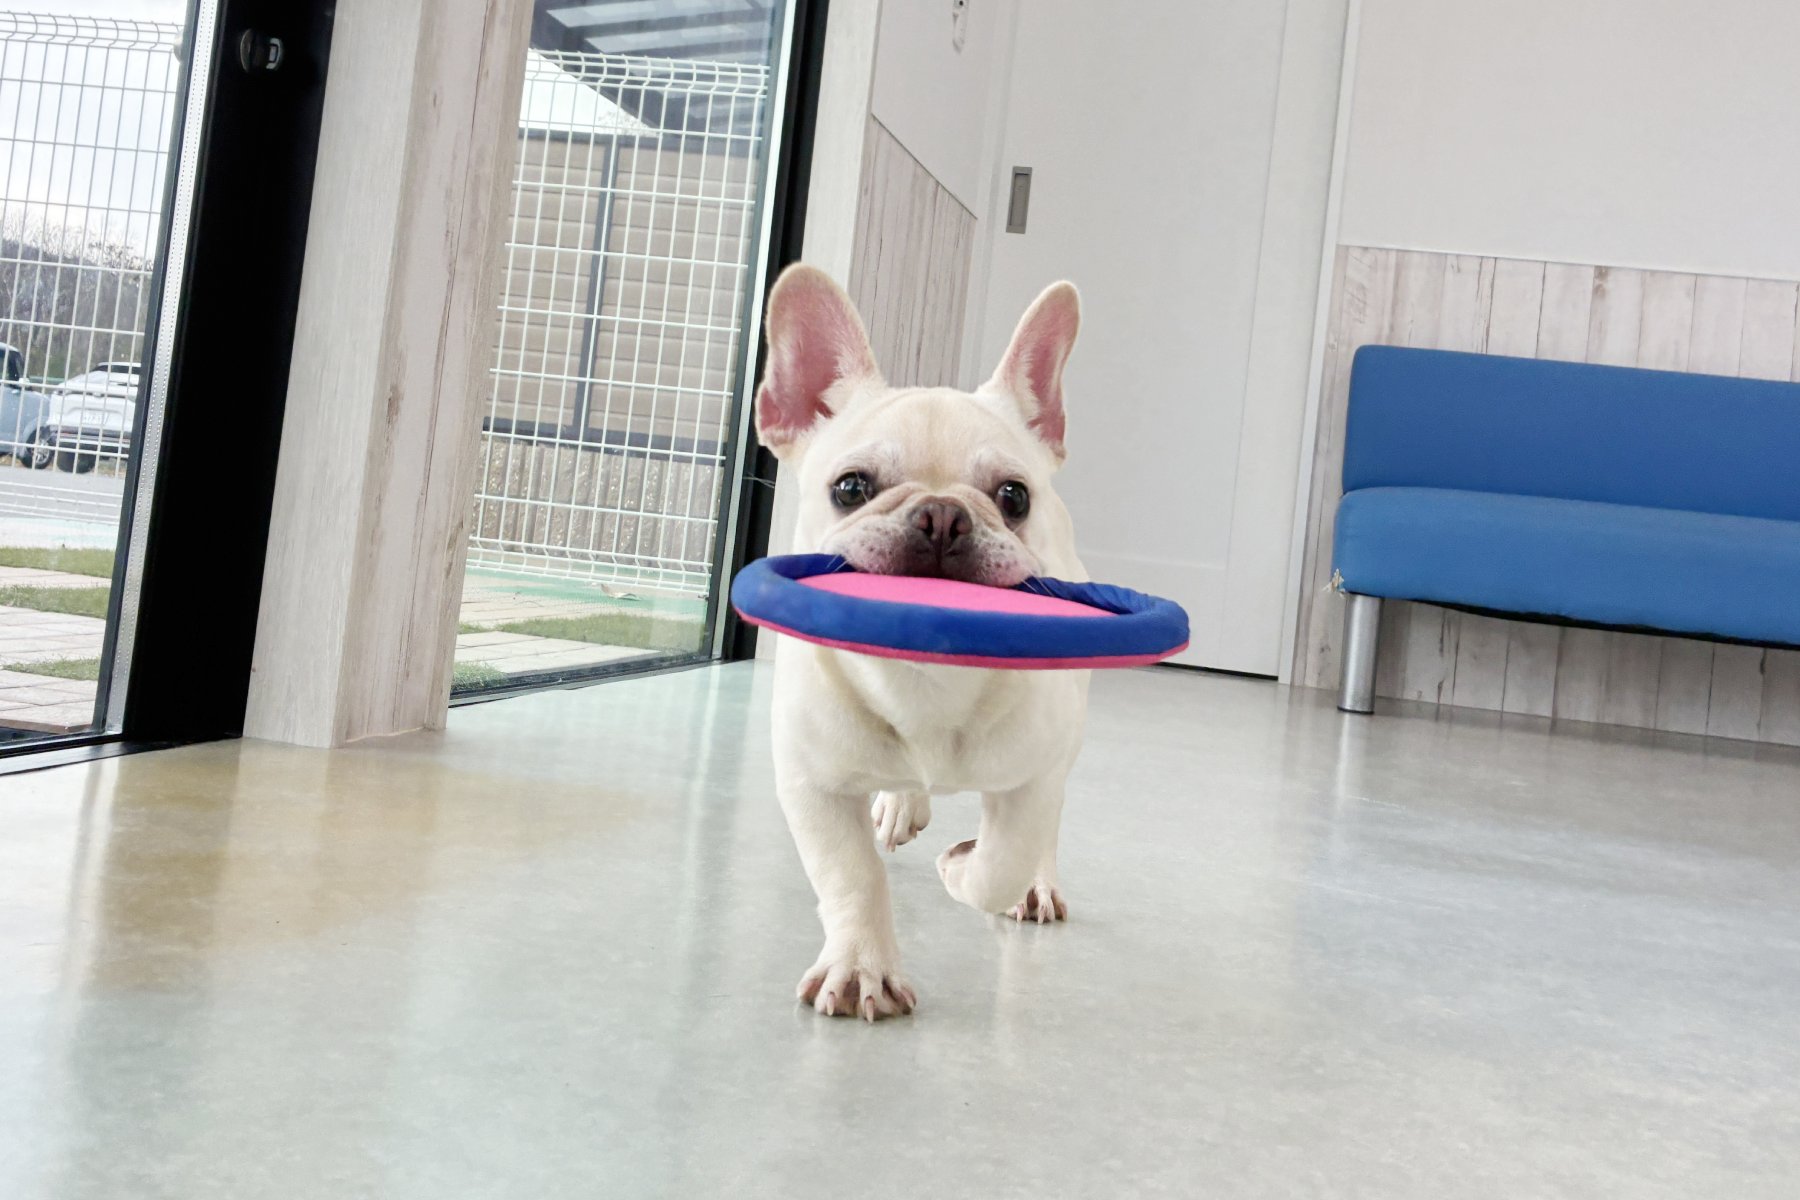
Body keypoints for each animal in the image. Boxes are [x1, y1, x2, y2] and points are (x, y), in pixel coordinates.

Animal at [754, 264, 1090, 1021]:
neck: (927, 675)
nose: (941, 515)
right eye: (850, 488)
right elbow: (850, 873)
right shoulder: (811, 782)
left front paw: (965, 871)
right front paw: (860, 966)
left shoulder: (1034, 776)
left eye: (1014, 497)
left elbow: (1004, 861)